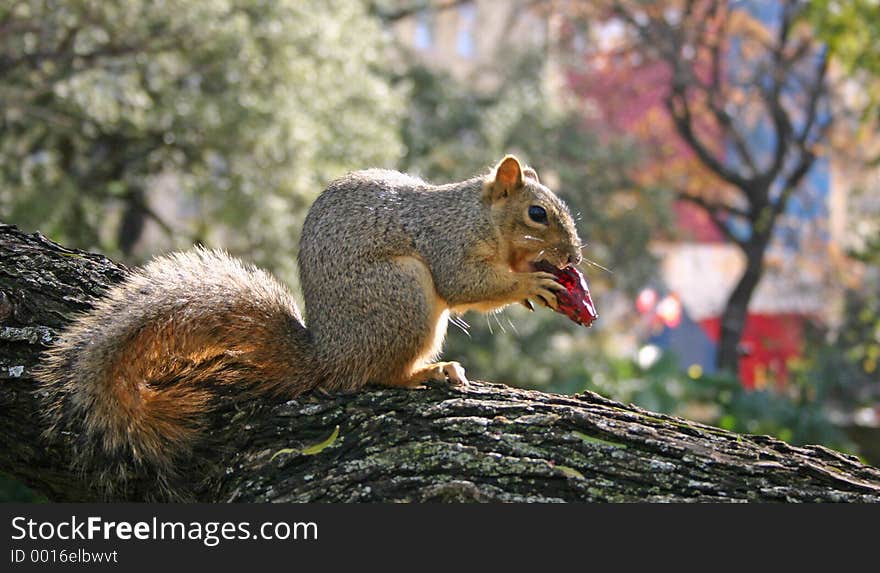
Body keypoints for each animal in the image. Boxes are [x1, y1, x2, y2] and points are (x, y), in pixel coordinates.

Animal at [36, 154, 584, 498]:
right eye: (537, 213)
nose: (574, 258)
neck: (479, 217)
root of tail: (328, 356)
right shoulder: (446, 242)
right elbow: (465, 282)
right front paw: (531, 283)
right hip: (403, 294)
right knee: (379, 375)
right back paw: (428, 372)